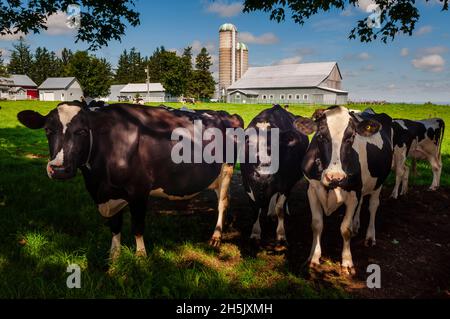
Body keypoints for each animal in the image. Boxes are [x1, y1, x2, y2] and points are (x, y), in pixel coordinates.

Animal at [17, 102, 244, 260]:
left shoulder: (139, 191)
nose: (59, 169)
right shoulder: (109, 194)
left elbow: (137, 226)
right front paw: (114, 256)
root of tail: (225, 113)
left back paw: (216, 237)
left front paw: (141, 256)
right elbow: (115, 226)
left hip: (227, 169)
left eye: (82, 131)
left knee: (223, 202)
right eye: (48, 130)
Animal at [243, 105, 310, 248]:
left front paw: (281, 235)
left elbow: (280, 208)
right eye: (248, 143)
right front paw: (255, 234)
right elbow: (255, 209)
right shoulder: (247, 183)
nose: (263, 175)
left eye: (276, 144)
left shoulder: (286, 183)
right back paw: (270, 212)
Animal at [294, 105, 392, 276]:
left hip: (378, 182)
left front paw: (347, 262)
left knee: (373, 206)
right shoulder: (312, 190)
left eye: (351, 137)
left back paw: (370, 236)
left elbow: (345, 229)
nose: (335, 177)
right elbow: (317, 224)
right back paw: (356, 225)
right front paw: (313, 258)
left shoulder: (353, 194)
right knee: (362, 204)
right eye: (320, 135)